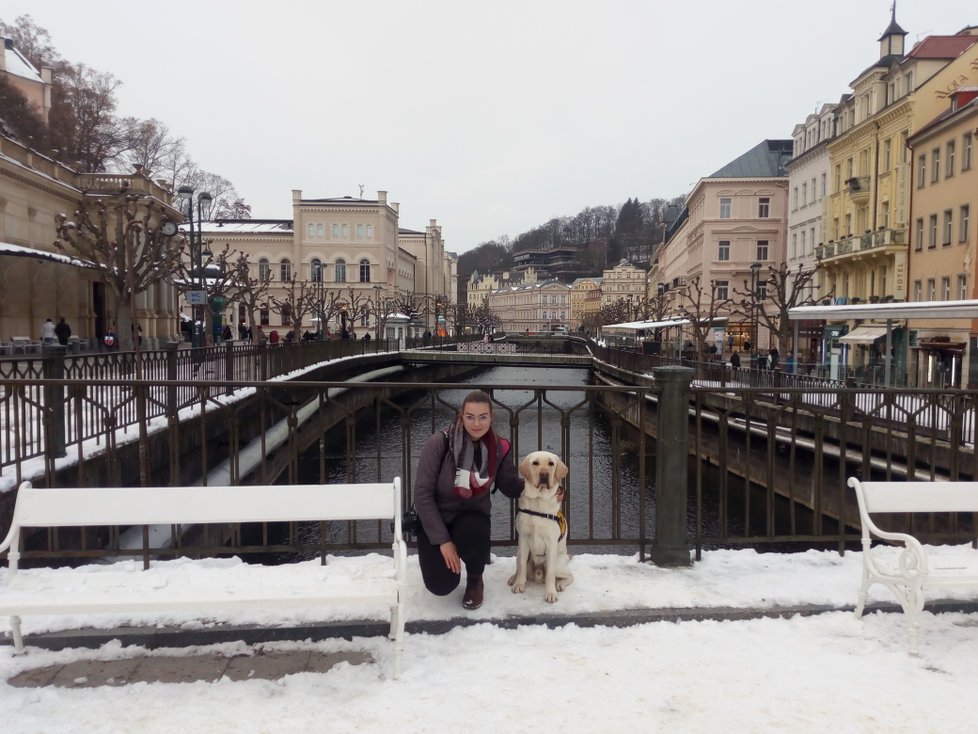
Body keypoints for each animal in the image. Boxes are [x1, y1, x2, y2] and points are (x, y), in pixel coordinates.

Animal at [508, 454, 568, 604]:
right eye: (535, 463)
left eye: (551, 464)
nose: (544, 474)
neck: (539, 500)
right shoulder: (523, 538)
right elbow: (522, 566)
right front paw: (519, 584)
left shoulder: (551, 542)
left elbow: (550, 574)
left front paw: (550, 593)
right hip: (518, 553)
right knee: (519, 566)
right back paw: (513, 578)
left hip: (559, 562)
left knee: (569, 576)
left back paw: (560, 584)